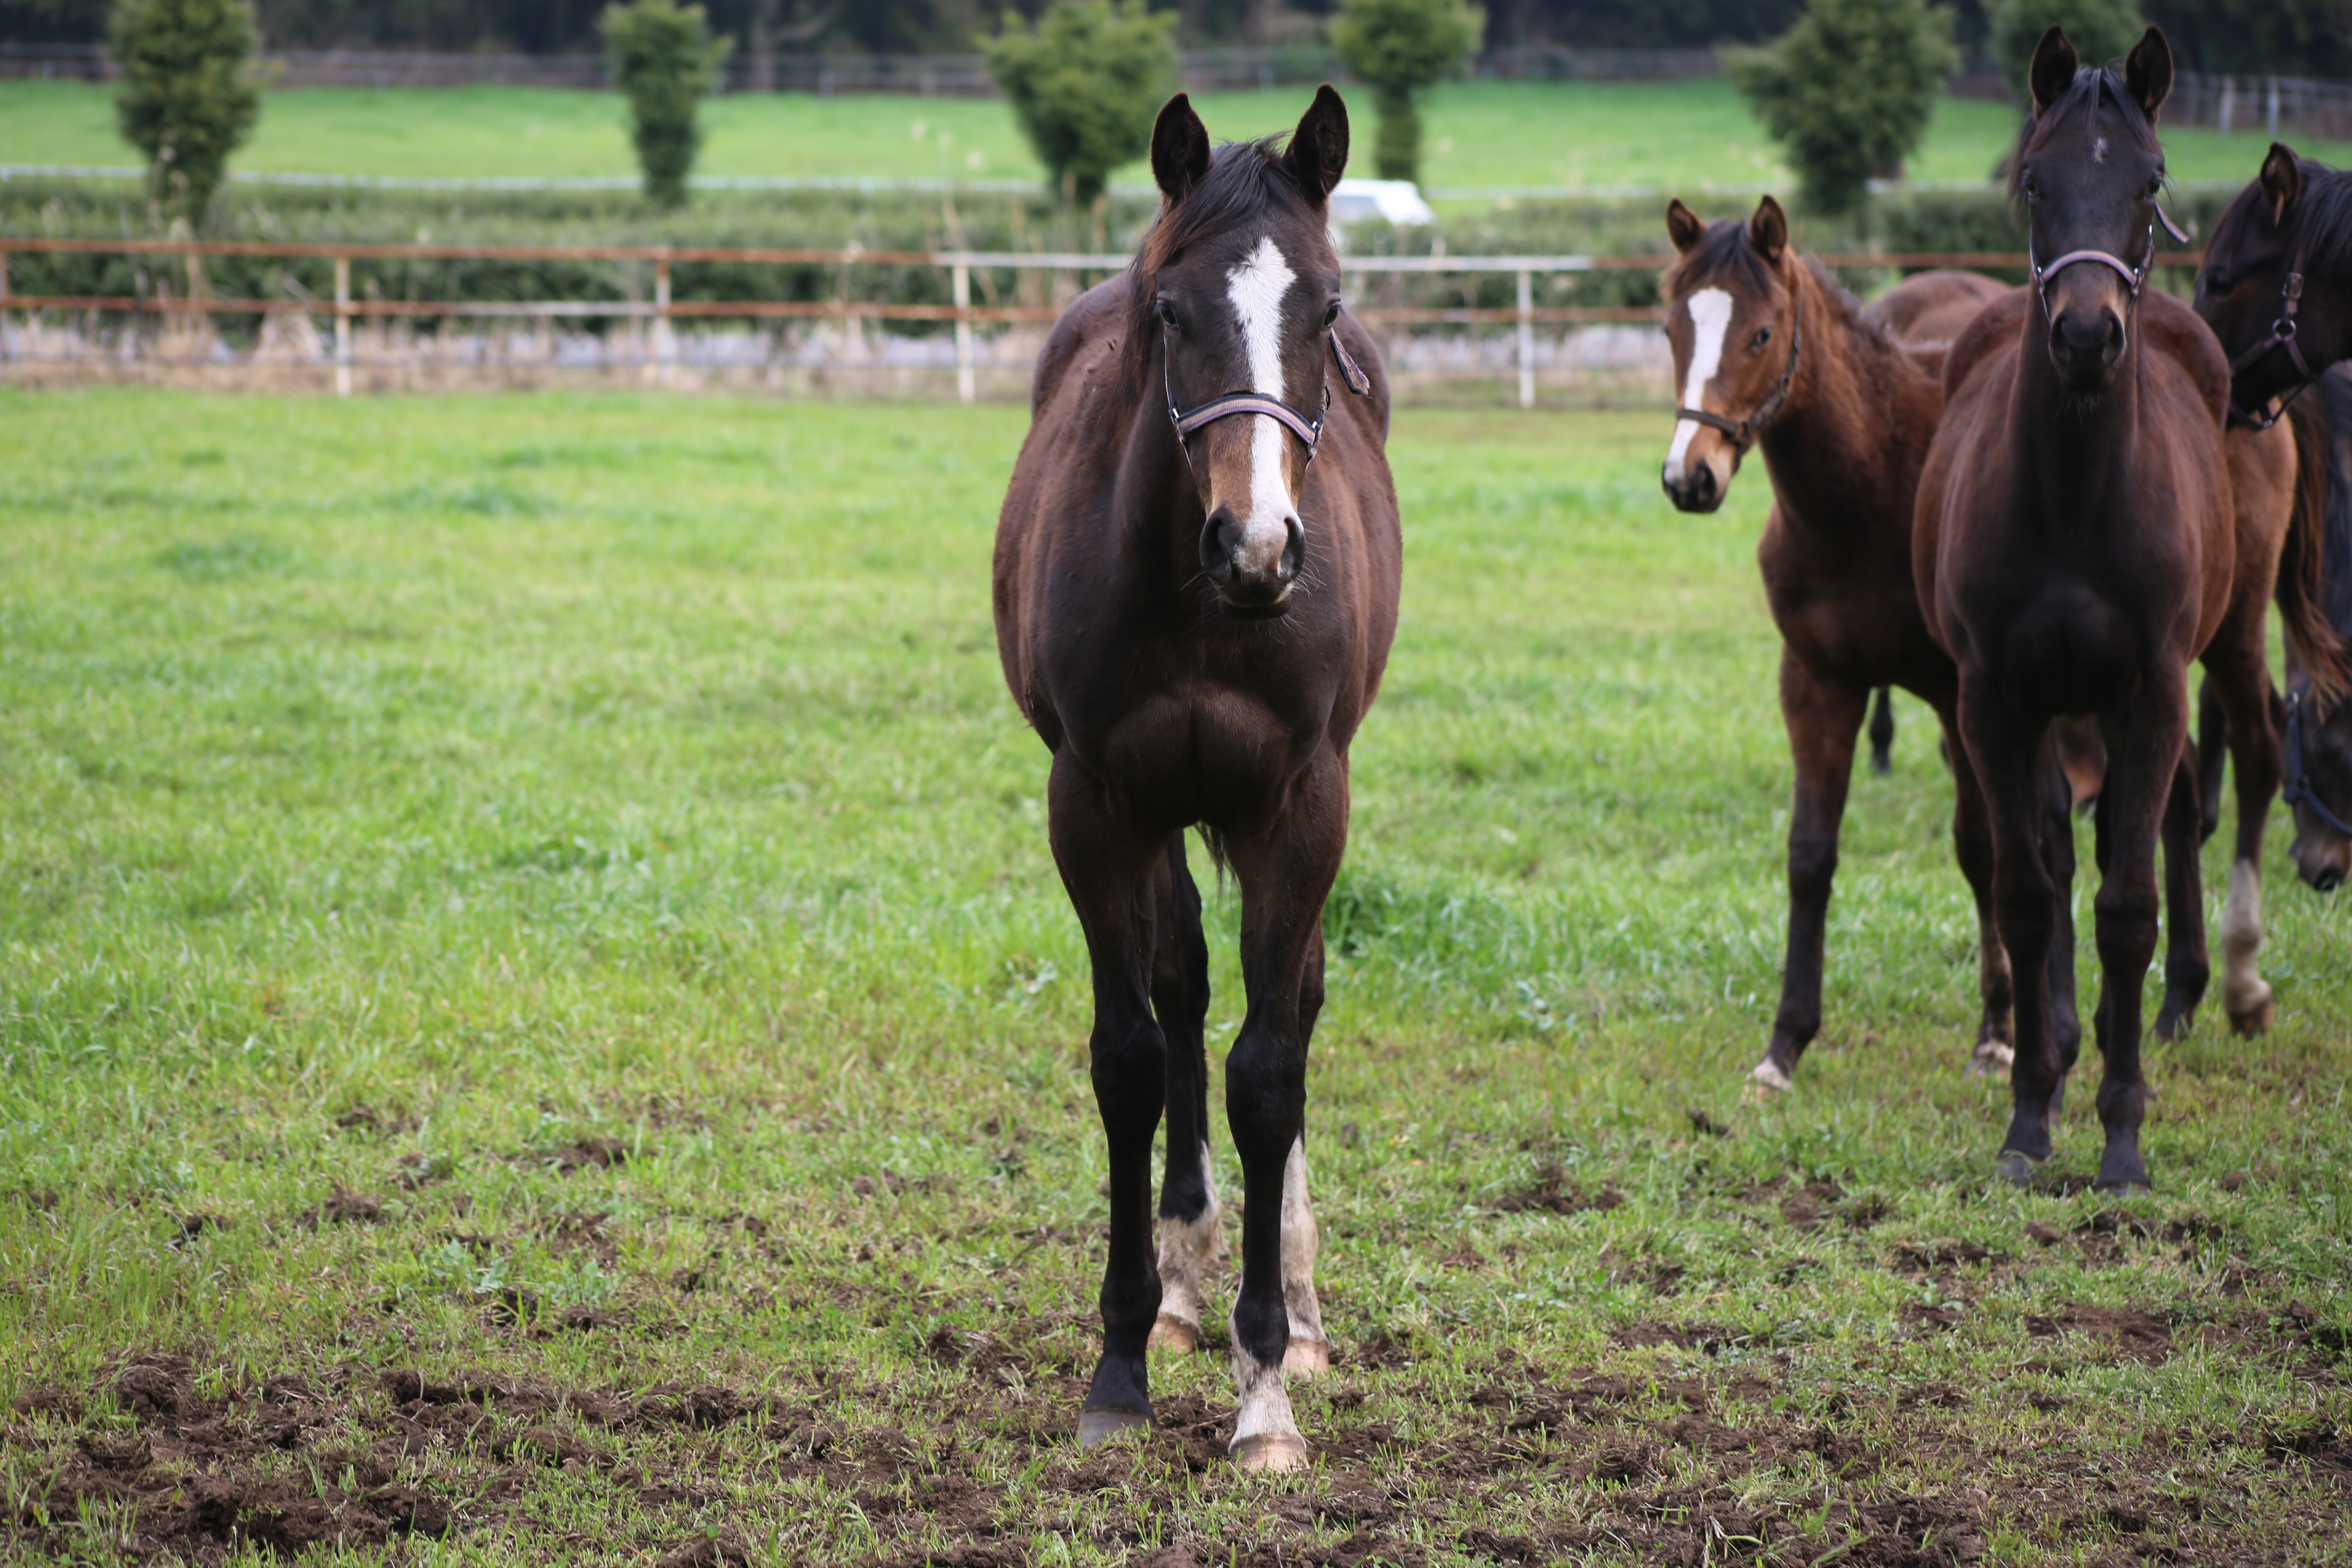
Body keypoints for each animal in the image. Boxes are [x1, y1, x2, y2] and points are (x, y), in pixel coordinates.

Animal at [992, 89, 1392, 1476]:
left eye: (1324, 308)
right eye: (1170, 311)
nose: (1259, 547)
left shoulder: (1300, 803)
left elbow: (1271, 1067)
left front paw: (1264, 1386)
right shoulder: (1098, 803)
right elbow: (1129, 1053)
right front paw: (1119, 1366)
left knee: (1293, 1005)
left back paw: (1300, 1307)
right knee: (1181, 993)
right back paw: (1177, 1285)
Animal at [1646, 193, 2069, 1091]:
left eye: (1762, 334)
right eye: (1672, 330)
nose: (1689, 478)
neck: (1873, 485)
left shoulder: (1958, 696)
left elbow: (1980, 850)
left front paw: (1997, 1032)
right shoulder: (1817, 683)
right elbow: (1811, 856)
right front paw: (1785, 1044)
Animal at [1929, 27, 2314, 1189]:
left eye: (2148, 182)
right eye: (2032, 180)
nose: (2089, 338)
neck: (2071, 498)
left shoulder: (2147, 689)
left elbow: (2124, 904)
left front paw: (2122, 1138)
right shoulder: (1995, 701)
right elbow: (2028, 892)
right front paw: (2028, 1120)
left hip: (2222, 643)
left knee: (2228, 772)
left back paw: (2209, 991)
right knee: (2073, 848)